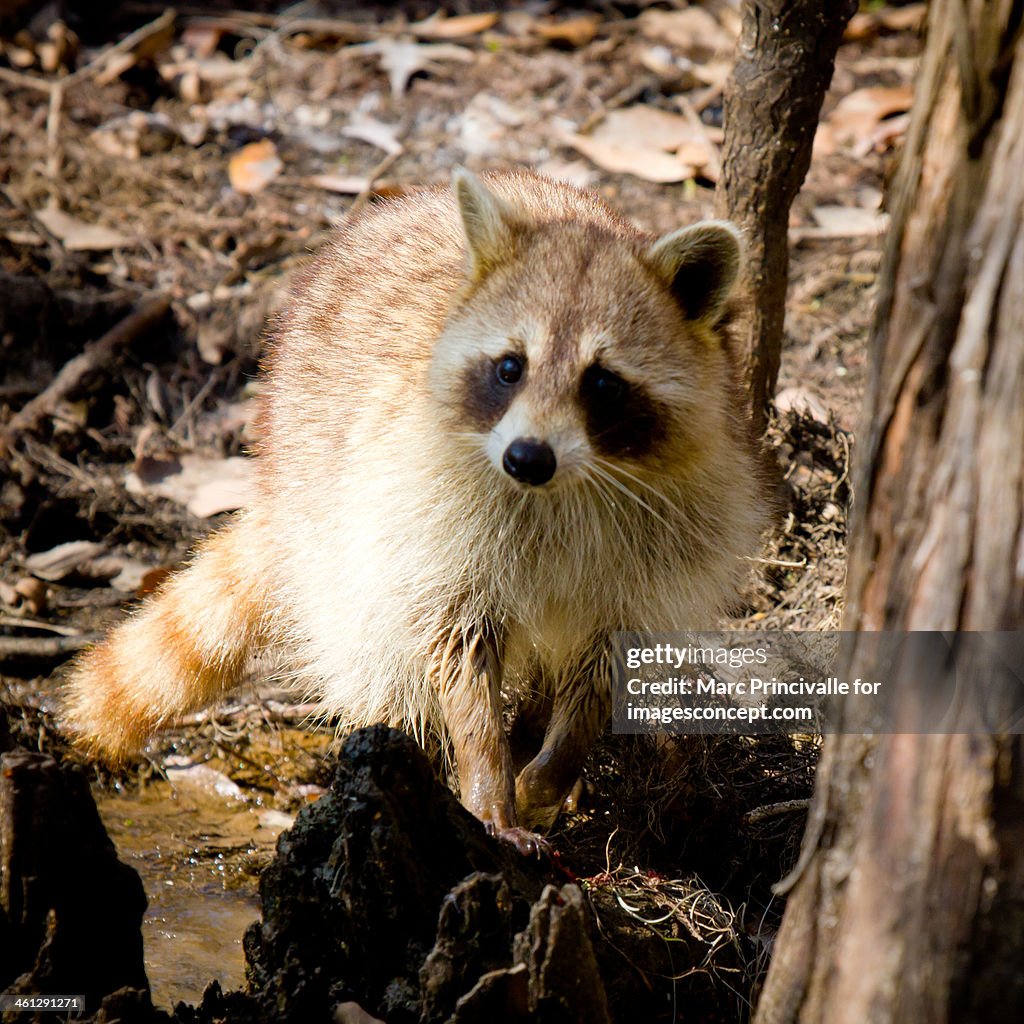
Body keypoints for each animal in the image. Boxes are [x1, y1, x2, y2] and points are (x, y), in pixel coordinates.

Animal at [61, 165, 770, 839]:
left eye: (601, 383)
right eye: (510, 367)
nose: (527, 458)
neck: (563, 487)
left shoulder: (673, 528)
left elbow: (606, 660)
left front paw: (554, 766)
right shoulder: (432, 511)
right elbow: (457, 644)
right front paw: (488, 781)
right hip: (328, 496)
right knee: (377, 649)